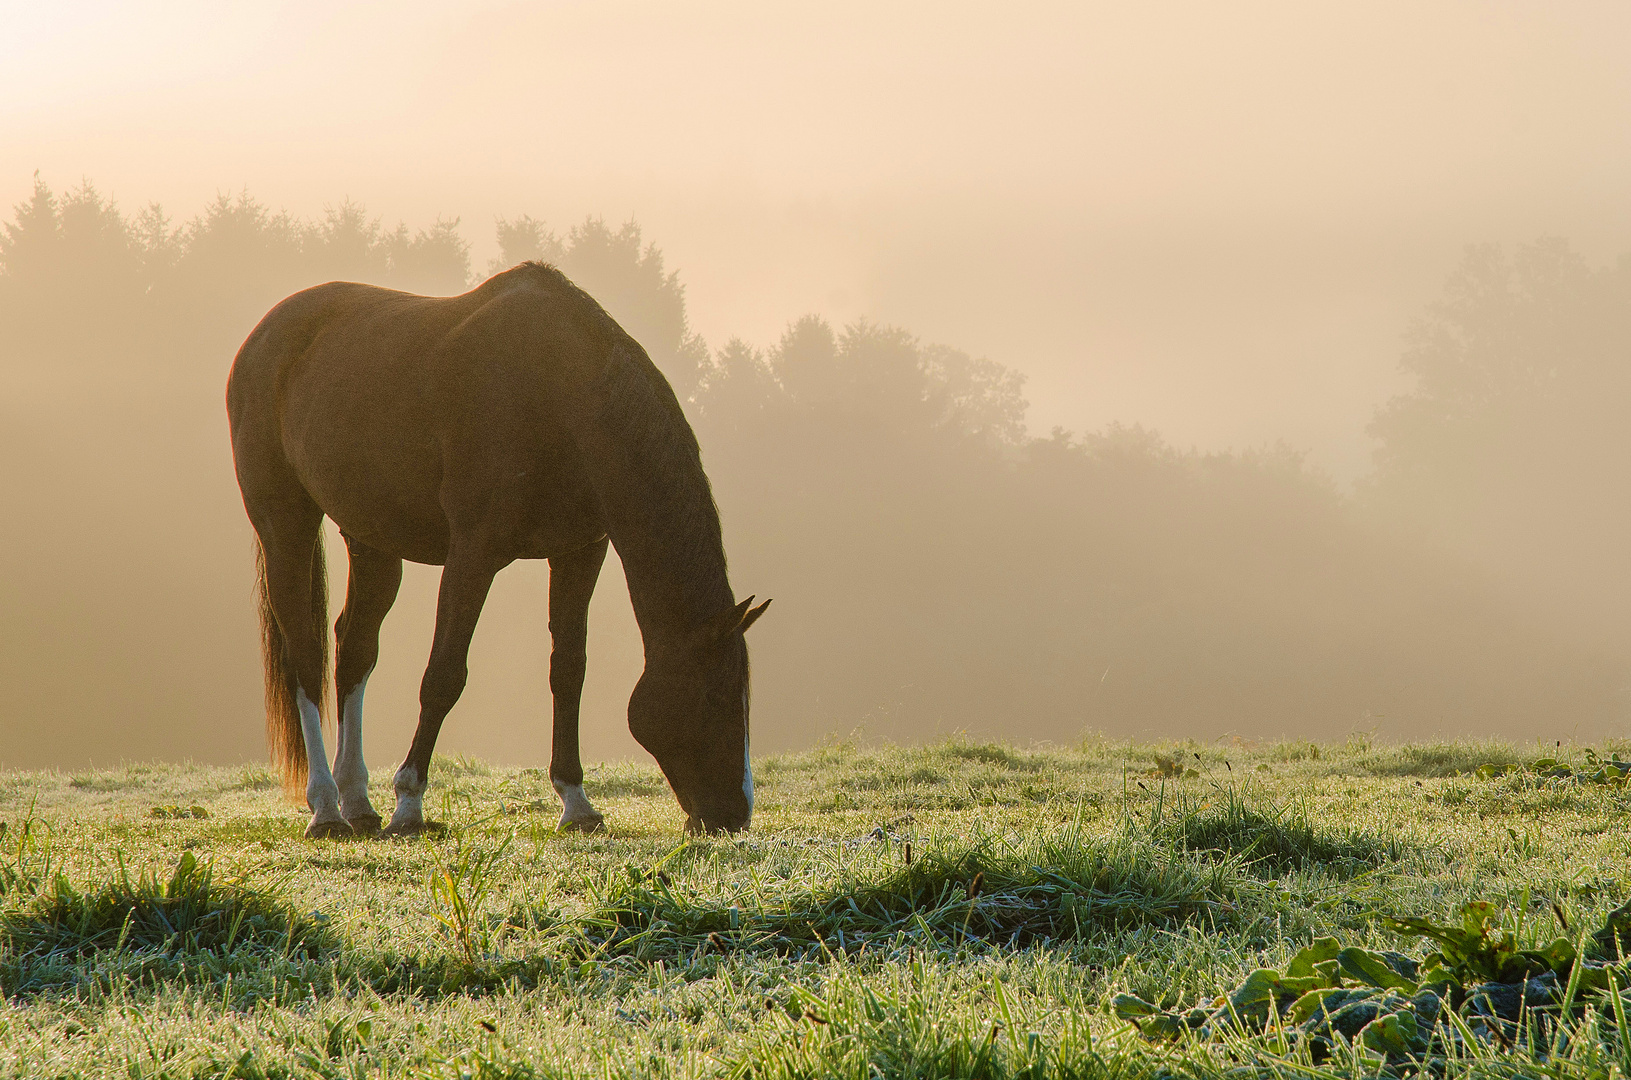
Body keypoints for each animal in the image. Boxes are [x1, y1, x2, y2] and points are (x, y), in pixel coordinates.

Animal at [226, 262, 773, 835]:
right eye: (715, 694)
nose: (734, 814)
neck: (559, 394)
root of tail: (262, 339)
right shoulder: (473, 554)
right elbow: (444, 674)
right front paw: (409, 803)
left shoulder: (581, 552)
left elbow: (568, 669)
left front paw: (576, 802)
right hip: (285, 523)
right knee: (305, 655)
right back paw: (327, 807)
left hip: (372, 540)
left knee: (354, 649)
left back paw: (357, 801)